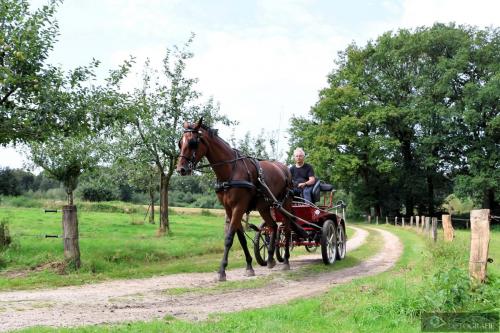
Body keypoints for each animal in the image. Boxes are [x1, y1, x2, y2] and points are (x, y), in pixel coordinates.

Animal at [176, 118, 294, 278]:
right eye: (180, 143)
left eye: (193, 142)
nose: (181, 169)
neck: (230, 171)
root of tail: (284, 168)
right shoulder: (229, 209)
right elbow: (241, 238)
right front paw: (249, 266)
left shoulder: (239, 206)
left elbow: (229, 238)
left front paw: (222, 270)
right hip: (264, 206)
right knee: (273, 226)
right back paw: (270, 258)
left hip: (284, 203)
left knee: (286, 229)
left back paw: (286, 260)